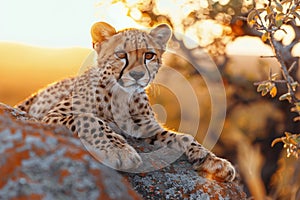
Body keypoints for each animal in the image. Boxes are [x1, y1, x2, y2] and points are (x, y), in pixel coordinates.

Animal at [15, 21, 236, 181]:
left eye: (149, 55)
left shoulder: (147, 127)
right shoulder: (54, 114)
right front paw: (119, 150)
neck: (120, 96)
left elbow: (184, 138)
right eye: (121, 55)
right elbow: (92, 120)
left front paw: (213, 160)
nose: (137, 75)